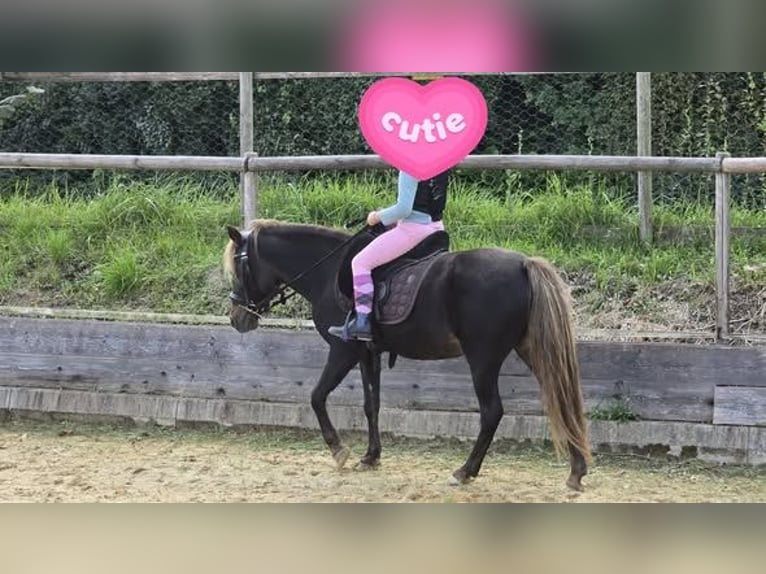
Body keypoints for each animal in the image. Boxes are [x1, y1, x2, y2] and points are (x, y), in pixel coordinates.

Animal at [223, 219, 591, 490]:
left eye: (239, 269)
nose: (237, 318)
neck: (326, 271)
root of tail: (523, 263)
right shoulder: (368, 352)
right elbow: (371, 405)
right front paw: (371, 457)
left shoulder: (343, 350)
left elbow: (316, 396)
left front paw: (339, 451)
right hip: (530, 349)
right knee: (560, 396)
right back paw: (576, 471)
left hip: (483, 358)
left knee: (492, 411)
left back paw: (465, 471)